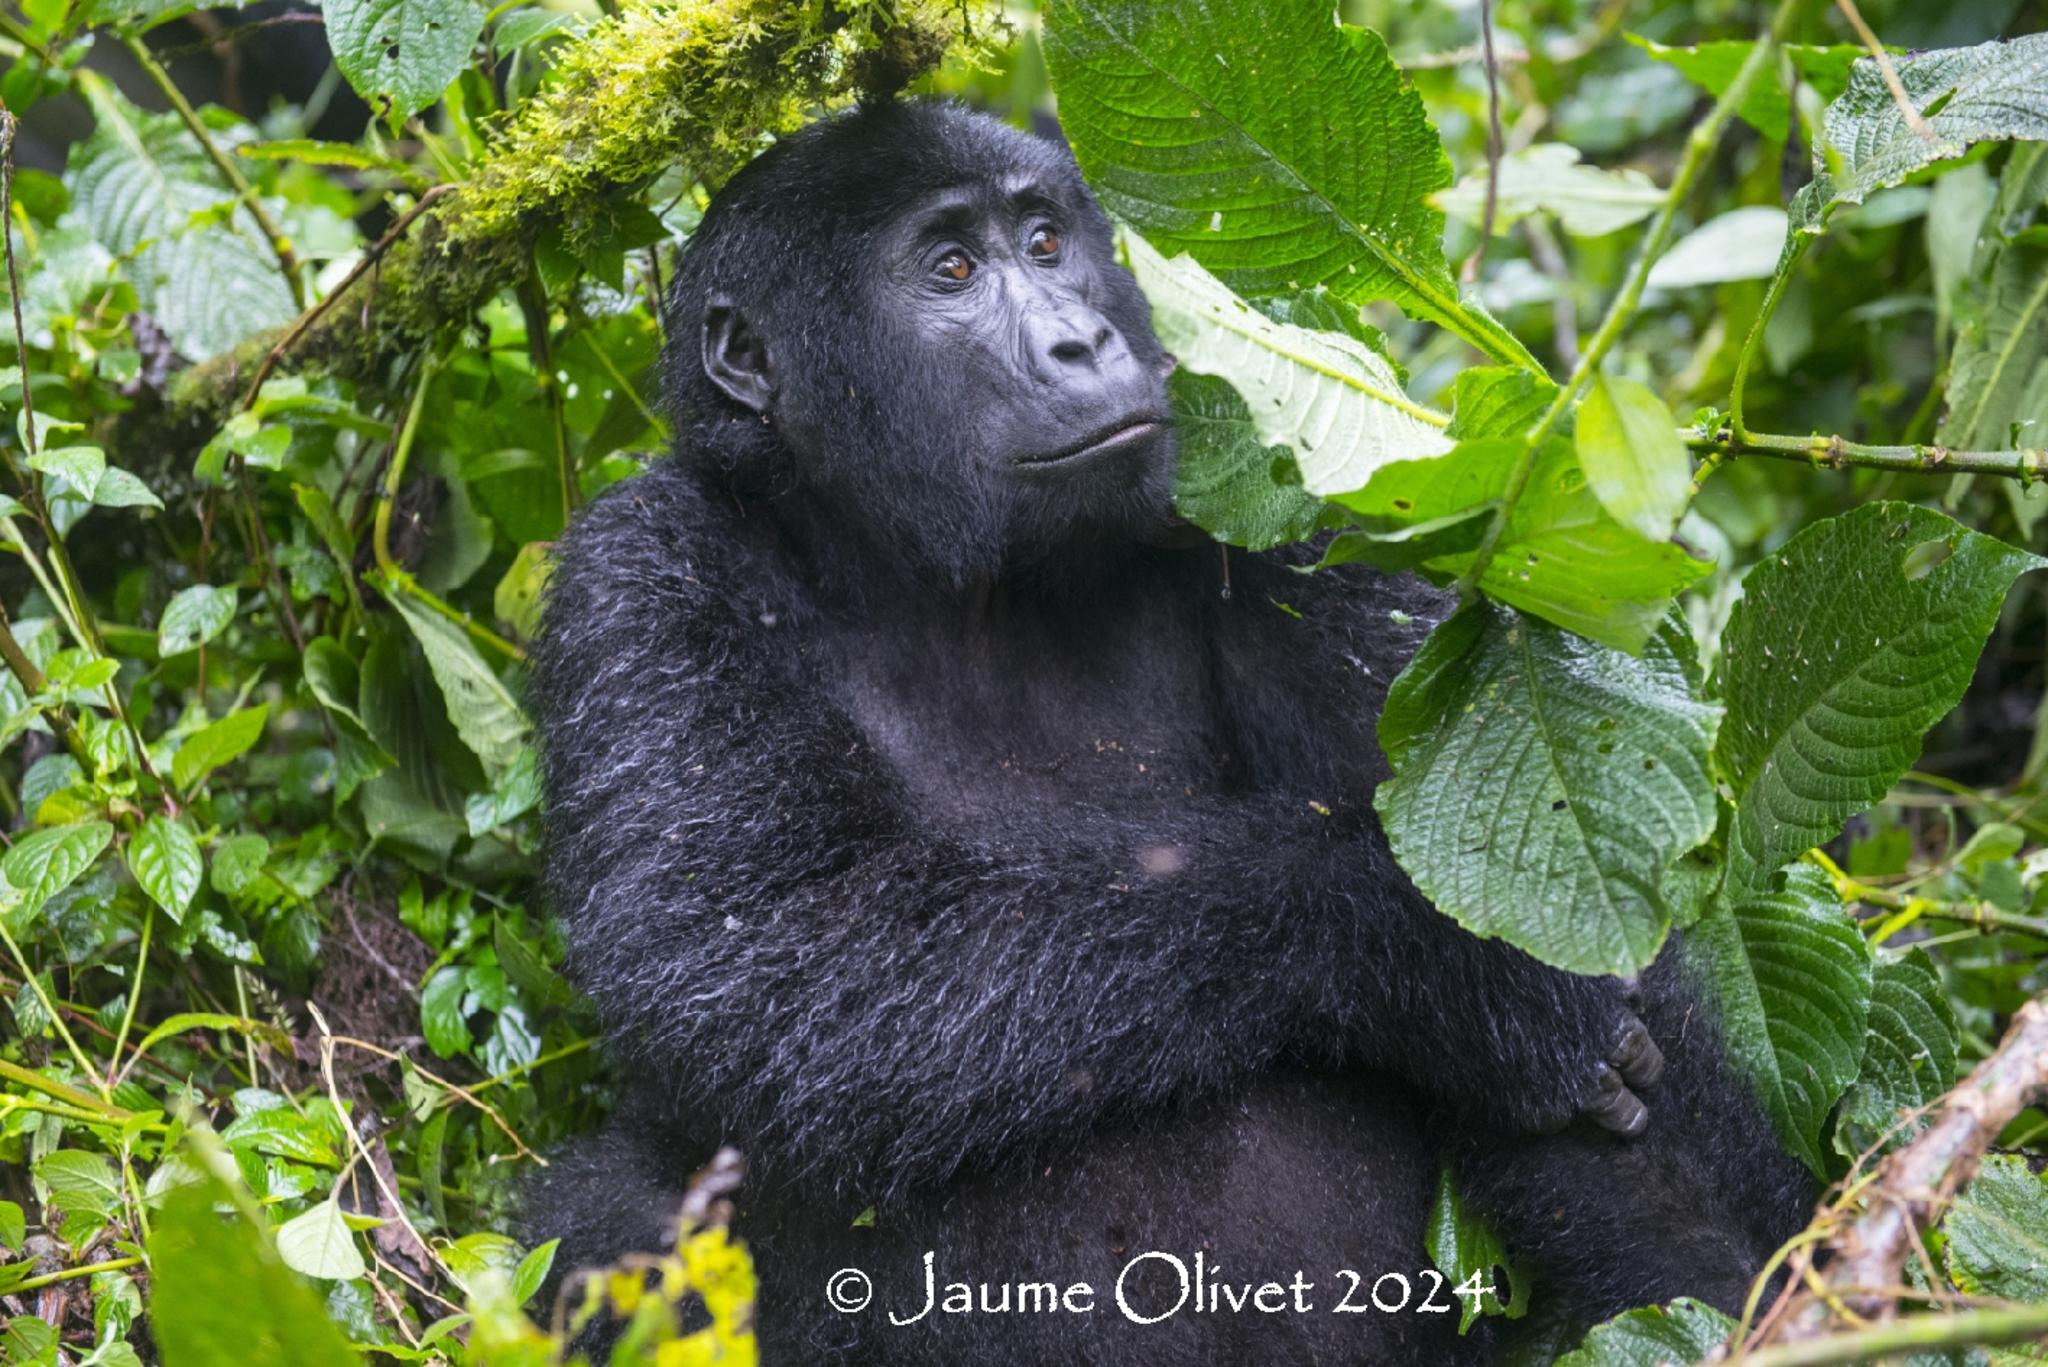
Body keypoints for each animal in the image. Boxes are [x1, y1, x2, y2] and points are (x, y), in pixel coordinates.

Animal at [524, 101, 1810, 1360]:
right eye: (949, 269)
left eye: (1045, 241)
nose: (1083, 343)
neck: (935, 577)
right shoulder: (636, 575)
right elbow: (764, 960)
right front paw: (1433, 959)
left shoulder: (1290, 500)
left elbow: (1561, 928)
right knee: (611, 1208)